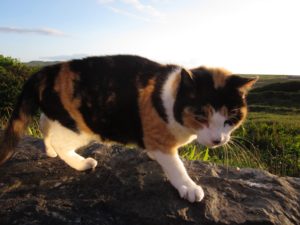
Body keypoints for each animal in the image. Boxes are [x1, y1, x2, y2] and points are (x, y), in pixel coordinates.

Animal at [0, 54, 258, 202]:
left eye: (231, 117)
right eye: (201, 116)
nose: (218, 140)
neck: (169, 96)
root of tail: (48, 70)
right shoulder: (160, 139)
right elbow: (176, 166)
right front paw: (188, 186)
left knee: (45, 123)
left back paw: (49, 150)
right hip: (84, 128)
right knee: (59, 140)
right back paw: (81, 163)